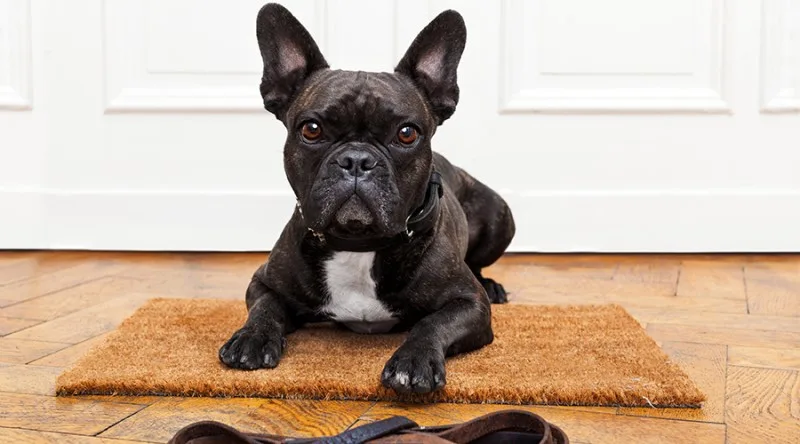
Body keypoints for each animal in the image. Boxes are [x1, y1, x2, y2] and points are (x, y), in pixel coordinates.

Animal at [217, 1, 520, 394]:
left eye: (407, 134)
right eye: (311, 129)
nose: (357, 160)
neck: (359, 244)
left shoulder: (469, 305)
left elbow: (432, 323)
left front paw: (413, 361)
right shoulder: (264, 282)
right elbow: (264, 309)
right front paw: (251, 338)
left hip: (500, 217)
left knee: (481, 265)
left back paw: (492, 286)